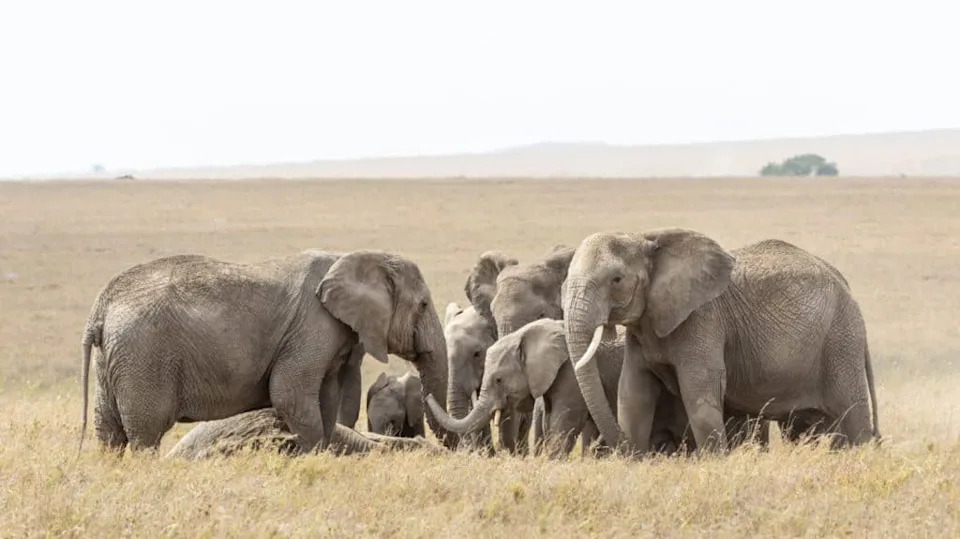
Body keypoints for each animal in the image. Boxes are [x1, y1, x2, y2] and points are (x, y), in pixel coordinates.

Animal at [79, 249, 457, 454]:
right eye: (424, 305)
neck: (355, 256)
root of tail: (101, 307)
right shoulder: (313, 328)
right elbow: (290, 394)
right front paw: (311, 458)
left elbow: (327, 400)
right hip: (143, 355)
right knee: (145, 432)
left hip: (116, 358)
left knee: (108, 430)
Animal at [427, 319, 696, 459]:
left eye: (499, 380)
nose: (427, 394)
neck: (526, 334)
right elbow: (549, 420)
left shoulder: (571, 375)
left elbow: (563, 420)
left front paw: (551, 462)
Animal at [563, 229, 880, 455]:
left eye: (616, 279)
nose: (619, 448)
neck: (644, 237)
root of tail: (845, 285)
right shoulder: (643, 328)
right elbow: (633, 394)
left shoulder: (703, 320)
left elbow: (699, 394)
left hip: (841, 340)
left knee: (853, 416)